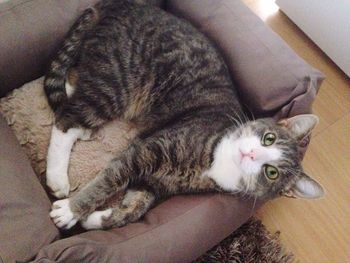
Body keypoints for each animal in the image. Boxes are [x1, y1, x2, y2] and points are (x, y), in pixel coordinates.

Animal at [45, 0, 324, 231]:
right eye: (268, 138)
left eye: (271, 173)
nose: (251, 153)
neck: (218, 161)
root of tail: (113, 5)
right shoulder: (144, 151)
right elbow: (108, 180)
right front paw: (71, 210)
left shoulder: (153, 184)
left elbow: (134, 210)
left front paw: (95, 219)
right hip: (115, 83)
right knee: (66, 118)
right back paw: (57, 176)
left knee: (74, 85)